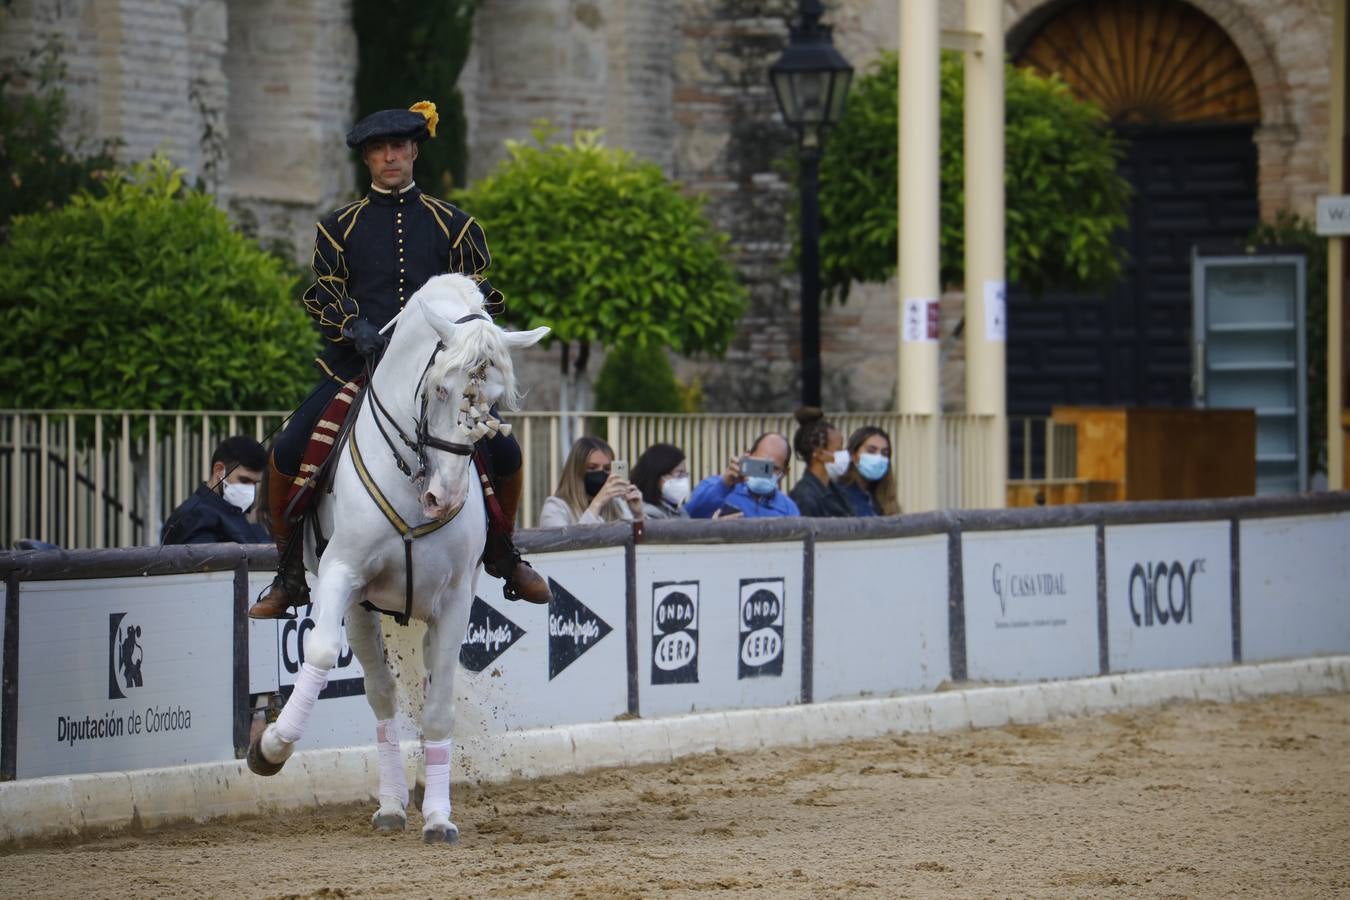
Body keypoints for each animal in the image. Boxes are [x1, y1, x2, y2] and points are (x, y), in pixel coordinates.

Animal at [248, 272, 548, 847]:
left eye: (495, 401)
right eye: (440, 388)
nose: (444, 500)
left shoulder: (454, 601)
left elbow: (439, 705)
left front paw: (439, 817)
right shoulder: (342, 575)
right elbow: (322, 653)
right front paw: (272, 746)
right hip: (360, 608)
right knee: (382, 696)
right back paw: (388, 805)